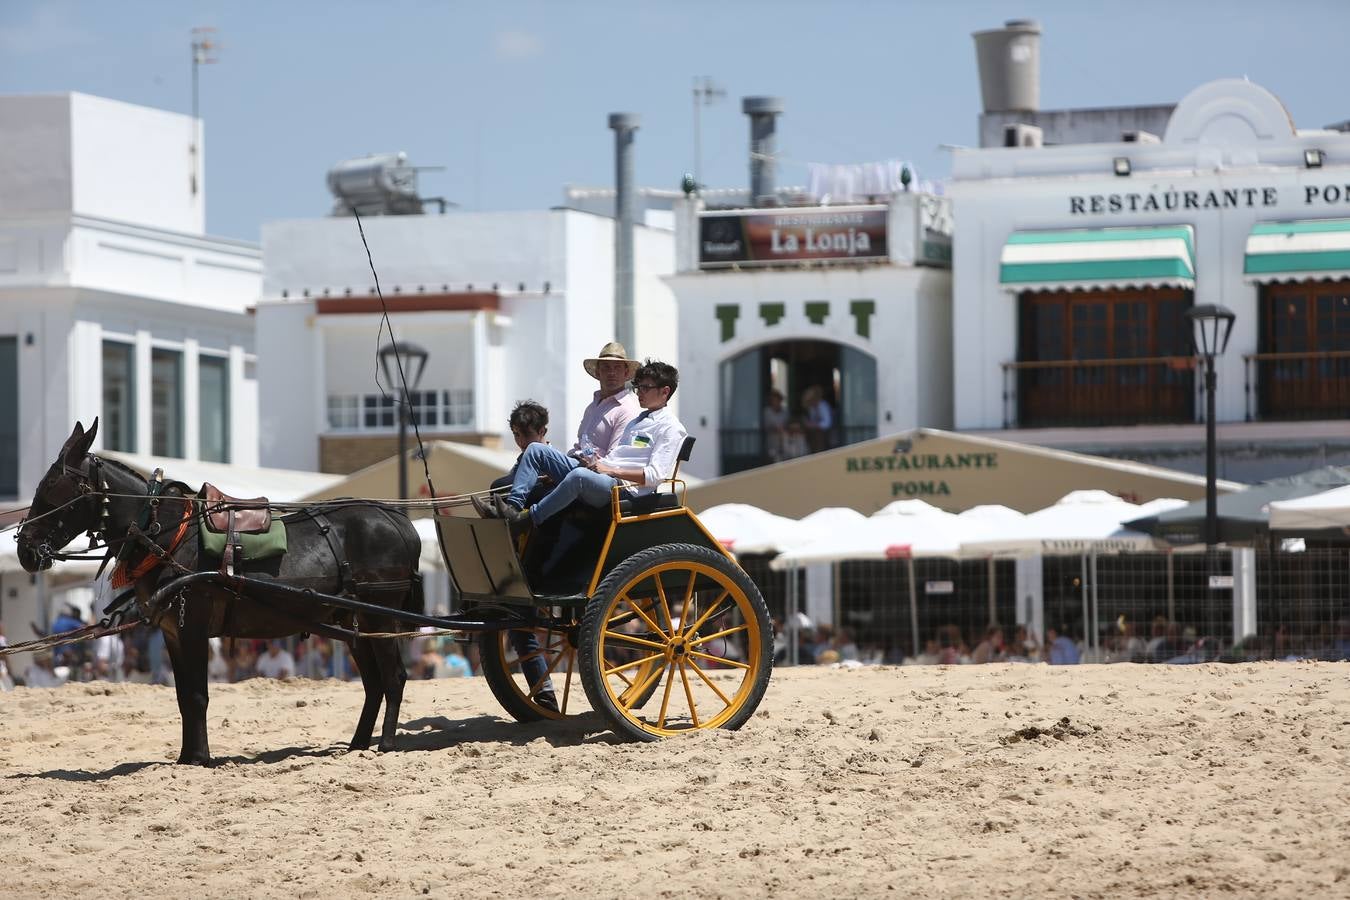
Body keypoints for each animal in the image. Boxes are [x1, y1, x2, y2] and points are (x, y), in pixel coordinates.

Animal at [13, 423, 418, 766]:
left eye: (52, 489)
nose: (24, 549)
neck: (166, 535)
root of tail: (398, 519)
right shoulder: (172, 632)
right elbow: (183, 696)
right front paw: (186, 756)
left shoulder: (191, 626)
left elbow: (197, 695)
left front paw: (200, 757)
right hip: (354, 621)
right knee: (374, 683)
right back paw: (358, 745)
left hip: (380, 614)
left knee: (394, 676)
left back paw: (386, 744)